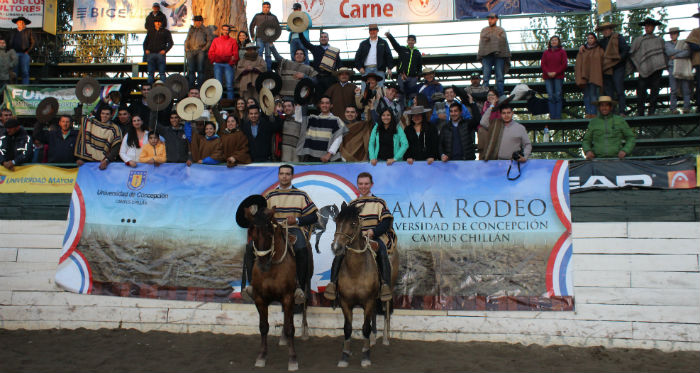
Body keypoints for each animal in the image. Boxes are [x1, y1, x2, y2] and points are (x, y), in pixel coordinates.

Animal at [246, 205, 312, 370]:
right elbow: (264, 326)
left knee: (304, 306)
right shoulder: (260, 298)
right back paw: (282, 338)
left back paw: (305, 332)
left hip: (305, 284)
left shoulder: (288, 296)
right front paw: (261, 356)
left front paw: (293, 359)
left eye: (270, 234)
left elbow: (290, 328)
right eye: (252, 234)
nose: (263, 265)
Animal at [330, 201, 396, 366]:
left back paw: (385, 338)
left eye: (353, 223)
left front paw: (366, 356)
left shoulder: (369, 300)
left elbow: (365, 327)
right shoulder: (345, 302)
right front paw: (345, 355)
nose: (336, 247)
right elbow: (347, 328)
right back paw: (372, 339)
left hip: (386, 292)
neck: (356, 271)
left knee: (385, 312)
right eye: (337, 221)